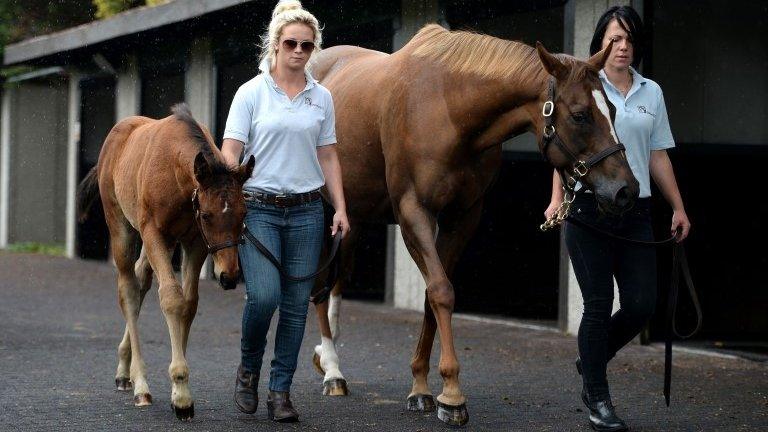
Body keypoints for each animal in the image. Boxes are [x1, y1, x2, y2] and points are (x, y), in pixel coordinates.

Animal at [77, 103, 254, 420]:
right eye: (207, 215)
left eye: (244, 213)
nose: (229, 276)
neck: (175, 174)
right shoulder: (154, 233)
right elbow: (172, 299)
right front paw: (182, 394)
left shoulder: (195, 242)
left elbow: (189, 303)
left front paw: (177, 392)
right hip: (123, 227)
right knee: (128, 289)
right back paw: (140, 385)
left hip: (164, 243)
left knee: (141, 279)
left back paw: (124, 370)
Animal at [308, 23, 640, 426]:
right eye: (580, 115)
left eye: (611, 108)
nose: (626, 190)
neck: (449, 108)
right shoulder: (414, 212)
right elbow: (441, 291)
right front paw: (452, 395)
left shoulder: (463, 217)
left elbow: (431, 295)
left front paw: (421, 388)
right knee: (319, 287)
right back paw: (333, 371)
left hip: (352, 217)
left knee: (336, 282)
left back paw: (327, 361)